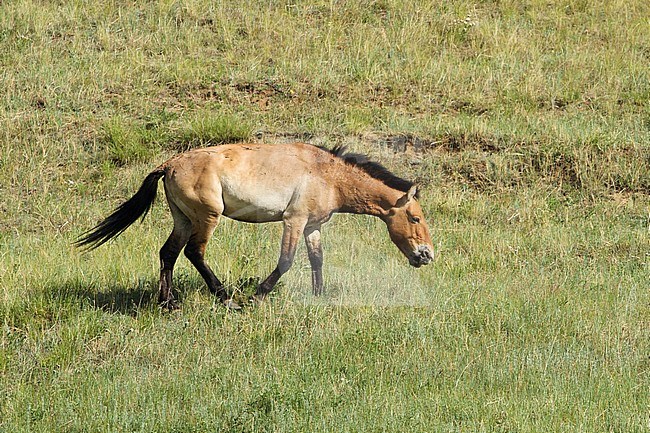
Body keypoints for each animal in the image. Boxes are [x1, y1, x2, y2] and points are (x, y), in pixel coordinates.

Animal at [77, 143, 430, 308]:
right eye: (415, 218)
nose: (427, 255)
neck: (328, 175)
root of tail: (168, 165)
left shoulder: (312, 226)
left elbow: (317, 259)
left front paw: (318, 296)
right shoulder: (294, 221)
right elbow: (286, 261)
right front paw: (257, 296)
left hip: (183, 219)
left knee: (168, 253)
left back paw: (169, 303)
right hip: (207, 217)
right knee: (194, 253)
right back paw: (226, 298)